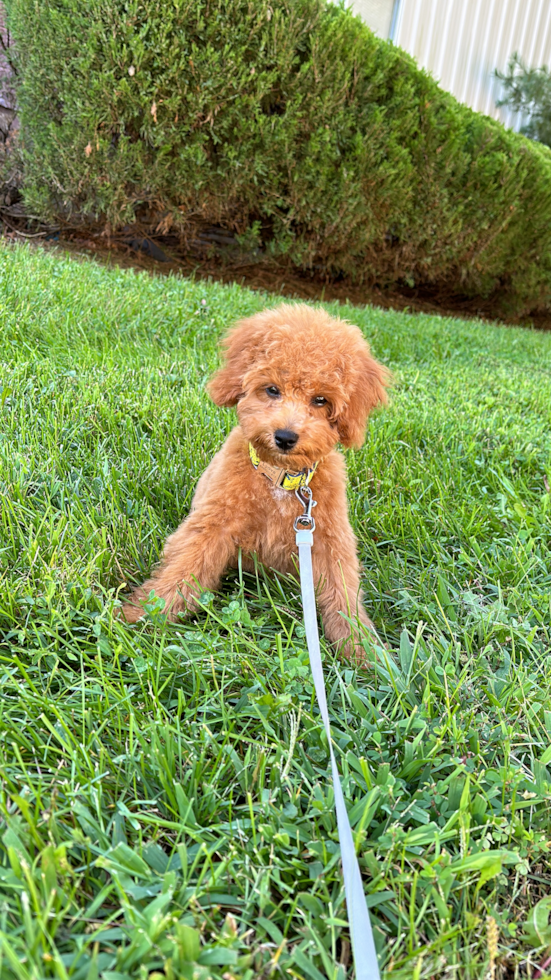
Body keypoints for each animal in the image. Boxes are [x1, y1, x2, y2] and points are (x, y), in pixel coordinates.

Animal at [122, 302, 388, 664]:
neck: (281, 481)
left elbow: (342, 594)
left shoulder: (330, 540)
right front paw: (139, 615)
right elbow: (184, 568)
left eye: (320, 400)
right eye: (272, 389)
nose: (285, 437)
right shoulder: (212, 524)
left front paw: (364, 653)